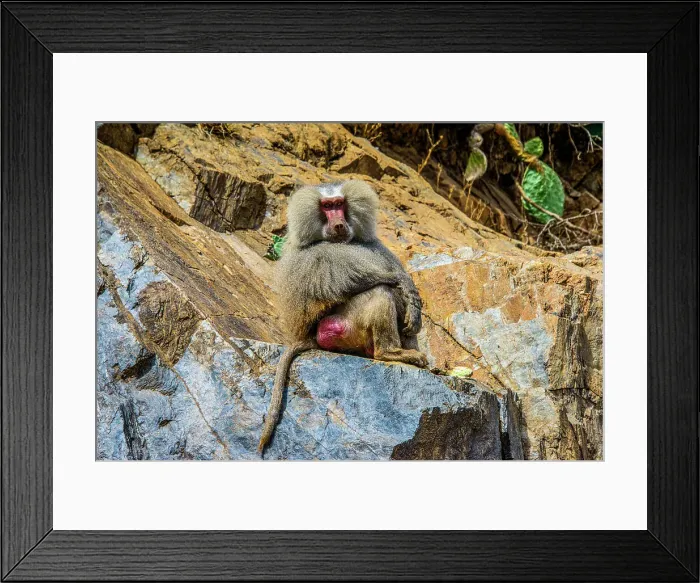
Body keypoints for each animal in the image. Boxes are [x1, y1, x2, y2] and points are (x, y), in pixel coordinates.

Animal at [258, 180, 427, 454]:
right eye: (327, 207)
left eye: (339, 204)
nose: (338, 224)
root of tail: (312, 338)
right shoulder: (315, 257)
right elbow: (349, 282)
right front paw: (404, 283)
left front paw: (414, 301)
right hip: (344, 327)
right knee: (381, 292)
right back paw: (392, 352)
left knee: (404, 318)